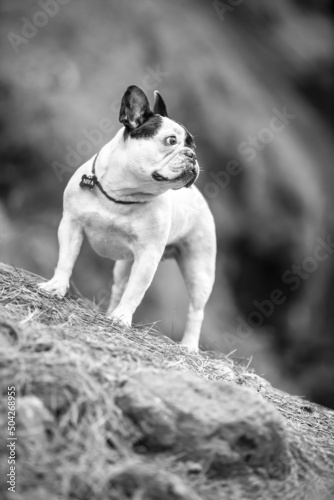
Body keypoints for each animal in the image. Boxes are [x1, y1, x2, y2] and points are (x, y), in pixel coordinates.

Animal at [39, 85, 217, 352]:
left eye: (192, 145)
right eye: (171, 141)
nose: (192, 155)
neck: (121, 193)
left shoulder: (148, 255)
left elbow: (136, 291)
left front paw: (122, 318)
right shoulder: (71, 225)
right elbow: (66, 260)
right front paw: (56, 286)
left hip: (199, 269)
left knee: (196, 310)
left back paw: (189, 346)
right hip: (125, 263)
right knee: (120, 286)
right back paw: (109, 312)